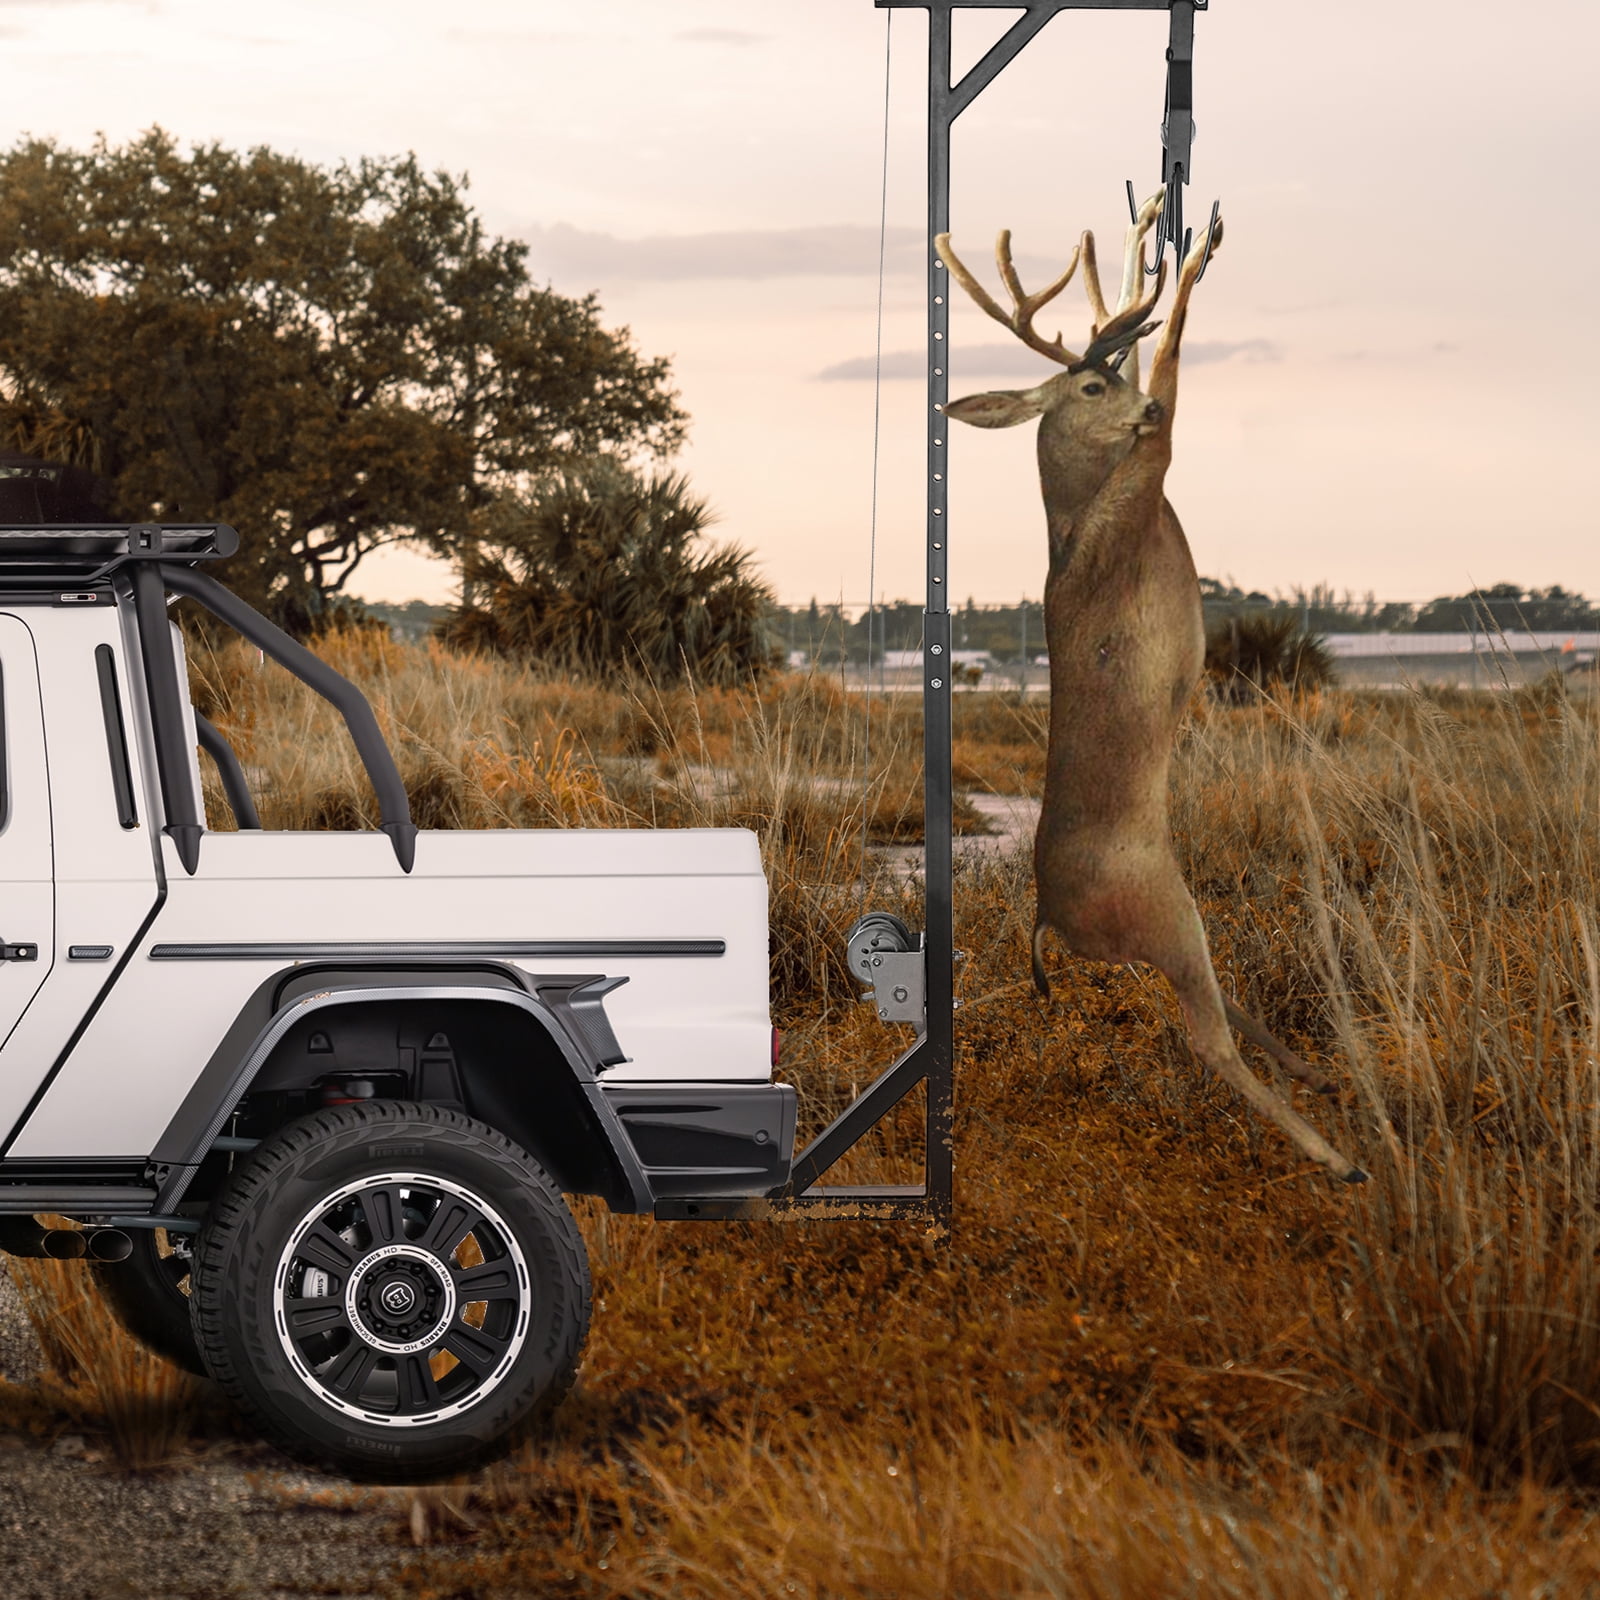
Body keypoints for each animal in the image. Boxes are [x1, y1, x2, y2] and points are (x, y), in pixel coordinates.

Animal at [936, 193, 1365, 1184]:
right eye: (1089, 389)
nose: (1137, 407)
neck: (1084, 513)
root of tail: (1049, 920)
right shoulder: (1153, 463)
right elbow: (1171, 356)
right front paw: (1195, 254)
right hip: (1165, 910)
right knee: (1205, 1038)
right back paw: (1340, 1158)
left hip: (1173, 920)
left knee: (1218, 1010)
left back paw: (1321, 1076)